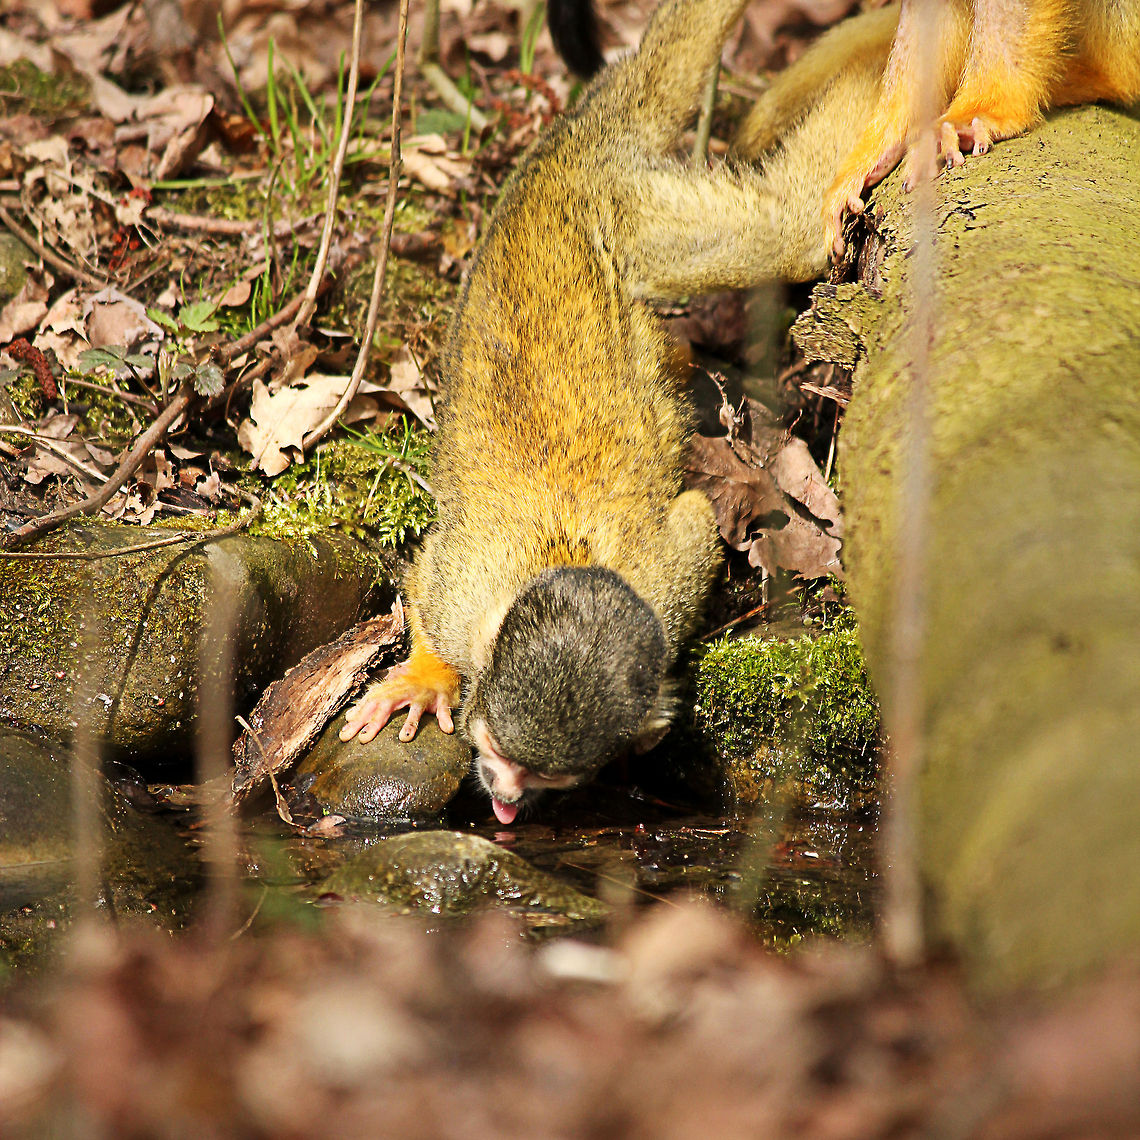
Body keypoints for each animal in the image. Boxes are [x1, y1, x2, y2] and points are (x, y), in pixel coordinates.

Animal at [336, 0, 908, 824]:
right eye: (497, 753)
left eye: (546, 778)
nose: (505, 806)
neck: (550, 569)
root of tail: (566, 152)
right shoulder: (465, 588)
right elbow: (433, 570)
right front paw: (426, 675)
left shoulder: (662, 592)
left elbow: (695, 526)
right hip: (626, 212)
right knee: (786, 232)